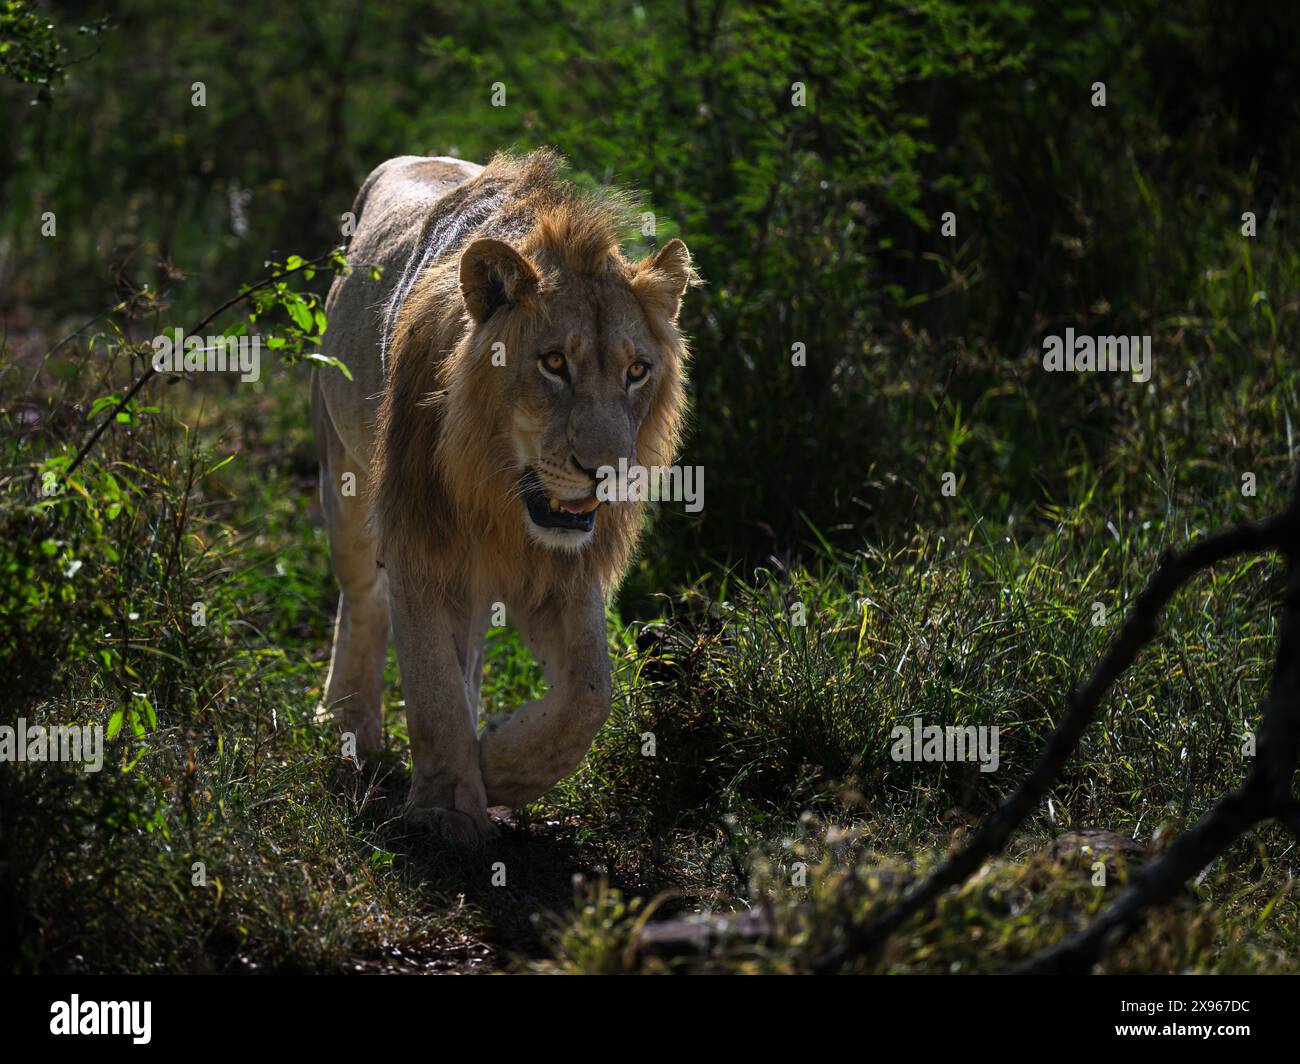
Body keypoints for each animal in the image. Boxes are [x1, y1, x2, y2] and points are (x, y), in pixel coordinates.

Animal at [310, 149, 694, 841]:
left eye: (637, 371)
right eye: (553, 363)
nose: (607, 472)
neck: (501, 497)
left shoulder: (565, 569)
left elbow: (589, 695)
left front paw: (499, 766)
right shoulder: (419, 541)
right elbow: (431, 684)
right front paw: (444, 812)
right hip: (340, 474)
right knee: (362, 603)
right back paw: (351, 724)